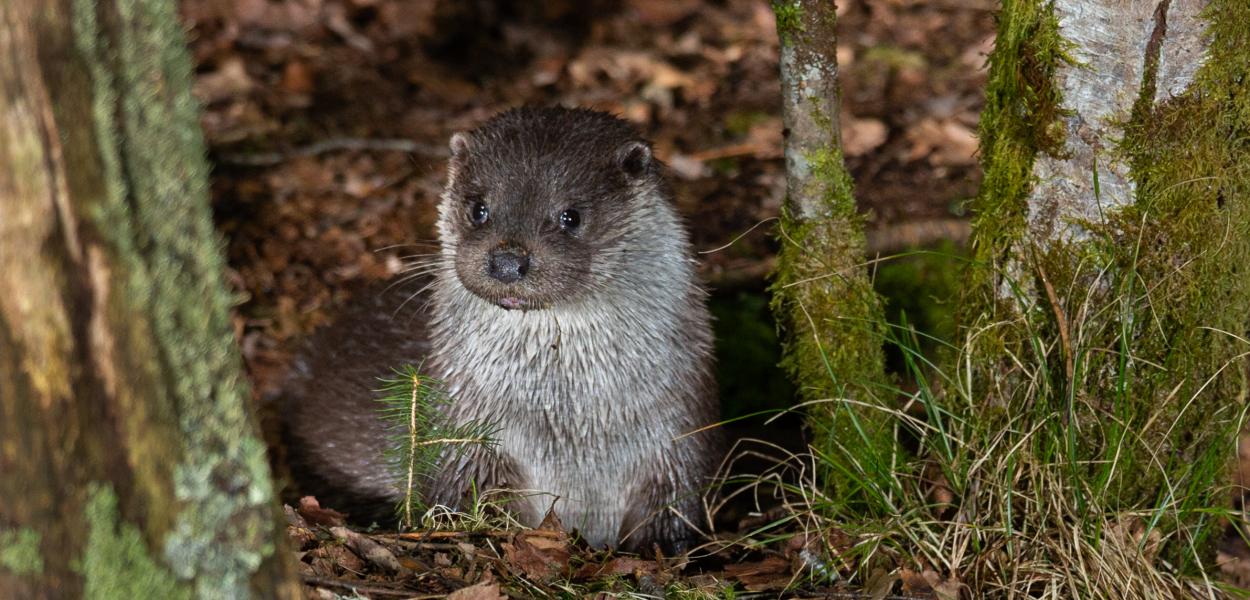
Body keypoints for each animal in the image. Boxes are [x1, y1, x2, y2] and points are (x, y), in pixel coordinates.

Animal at [278, 105, 720, 550]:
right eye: (478, 208)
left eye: (571, 216)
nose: (508, 261)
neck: (571, 432)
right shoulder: (466, 434)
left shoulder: (676, 434)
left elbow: (674, 503)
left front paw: (665, 547)